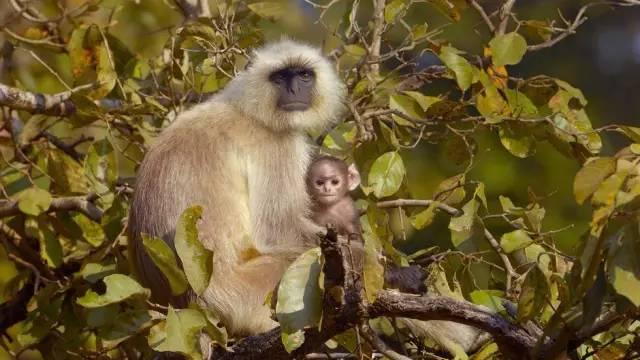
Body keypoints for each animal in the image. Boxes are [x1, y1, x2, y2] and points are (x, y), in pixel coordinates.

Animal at [129, 40, 344, 336]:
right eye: (280, 77)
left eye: (303, 75)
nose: (294, 89)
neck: (247, 108)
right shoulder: (277, 146)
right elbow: (278, 229)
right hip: (242, 291)